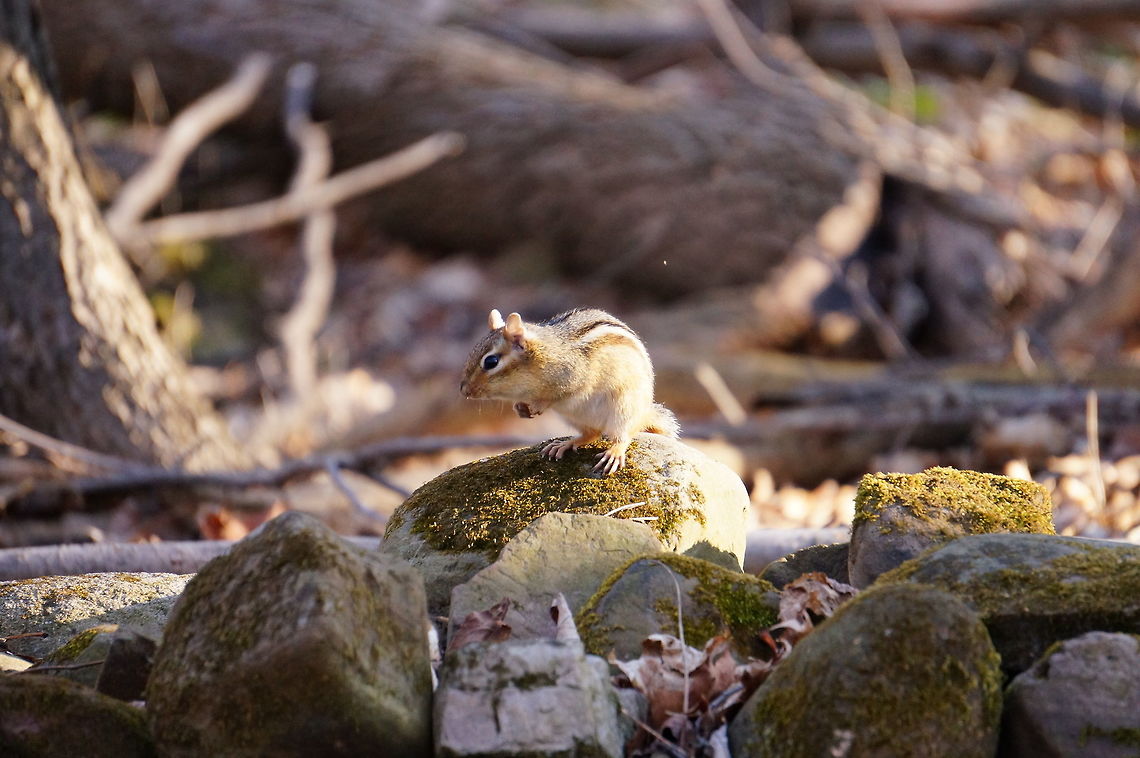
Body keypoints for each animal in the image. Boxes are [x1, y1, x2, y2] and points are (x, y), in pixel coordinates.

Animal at [460, 307, 680, 475]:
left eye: (491, 361)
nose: (464, 390)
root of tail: (644, 413)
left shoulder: (576, 378)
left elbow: (561, 394)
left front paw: (538, 405)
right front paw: (520, 408)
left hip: (623, 408)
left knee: (622, 435)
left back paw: (614, 452)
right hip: (575, 417)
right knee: (592, 434)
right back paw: (564, 444)